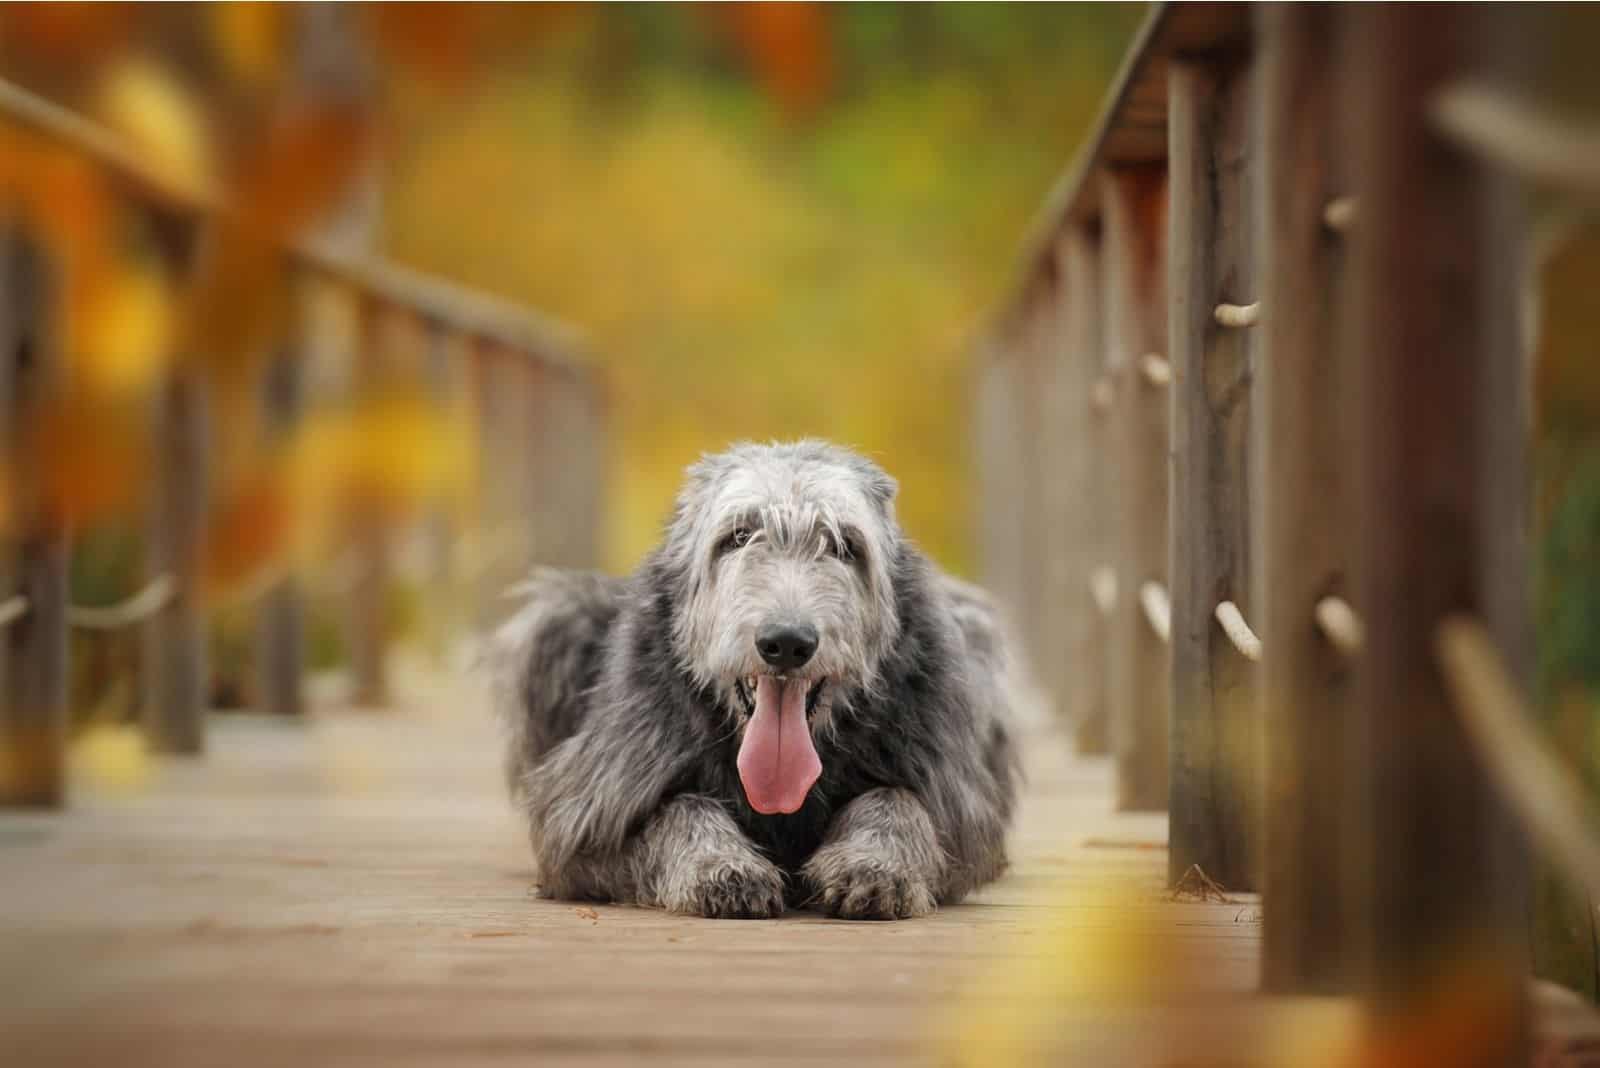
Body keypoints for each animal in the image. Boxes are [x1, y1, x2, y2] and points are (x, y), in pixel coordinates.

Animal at [483, 438, 1024, 920]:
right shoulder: (584, 821)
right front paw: (721, 868)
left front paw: (873, 868)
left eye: (845, 545)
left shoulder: (958, 808)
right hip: (559, 621)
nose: (786, 642)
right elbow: (678, 808)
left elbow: (899, 800)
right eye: (739, 536)